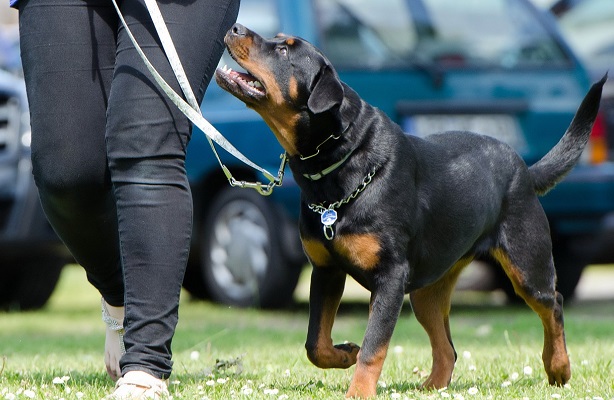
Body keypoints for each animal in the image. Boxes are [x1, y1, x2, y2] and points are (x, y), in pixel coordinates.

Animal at [215, 24, 608, 396]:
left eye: (284, 50)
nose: (235, 28)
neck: (338, 163)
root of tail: (524, 169)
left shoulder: (390, 278)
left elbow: (374, 346)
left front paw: (358, 392)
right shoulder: (326, 270)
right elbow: (316, 343)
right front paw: (345, 353)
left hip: (526, 262)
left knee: (553, 304)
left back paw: (558, 367)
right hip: (427, 290)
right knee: (447, 347)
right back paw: (432, 386)